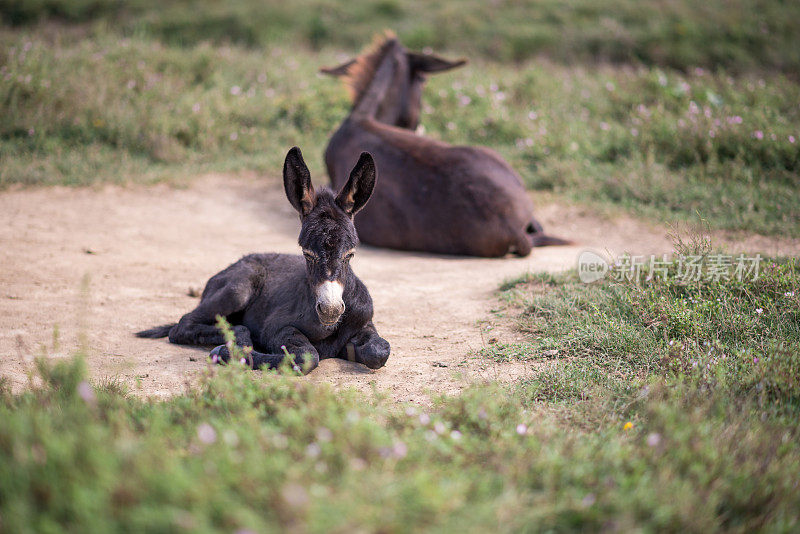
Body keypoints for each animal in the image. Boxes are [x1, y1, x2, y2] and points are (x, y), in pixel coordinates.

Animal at [138, 144, 394, 374]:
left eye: (350, 254)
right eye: (306, 254)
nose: (330, 310)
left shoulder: (365, 323)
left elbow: (380, 351)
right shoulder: (277, 328)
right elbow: (307, 357)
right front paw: (227, 353)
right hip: (238, 289)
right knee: (183, 325)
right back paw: (233, 339)